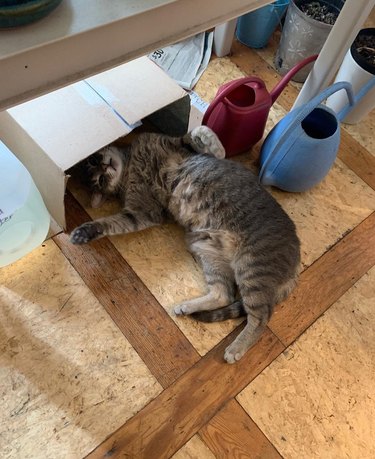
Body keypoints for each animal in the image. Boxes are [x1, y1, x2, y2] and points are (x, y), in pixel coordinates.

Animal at [70, 126, 300, 362]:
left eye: (95, 160)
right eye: (99, 180)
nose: (105, 167)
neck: (130, 165)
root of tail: (296, 263)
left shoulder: (176, 146)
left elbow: (199, 132)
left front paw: (217, 146)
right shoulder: (142, 213)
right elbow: (108, 223)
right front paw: (84, 233)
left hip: (250, 267)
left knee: (259, 314)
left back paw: (235, 346)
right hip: (217, 256)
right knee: (236, 301)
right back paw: (197, 315)